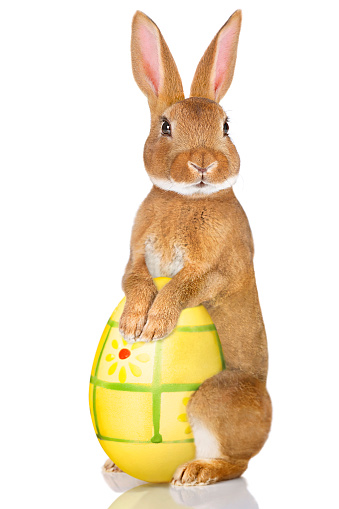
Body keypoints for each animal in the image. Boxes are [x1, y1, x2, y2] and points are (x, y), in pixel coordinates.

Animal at [115, 7, 272, 484]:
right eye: (166, 126)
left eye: (226, 126)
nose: (203, 162)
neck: (186, 199)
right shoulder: (135, 256)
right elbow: (136, 281)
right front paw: (133, 323)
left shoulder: (216, 270)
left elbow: (181, 286)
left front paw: (154, 327)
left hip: (213, 397)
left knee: (237, 463)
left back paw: (197, 473)